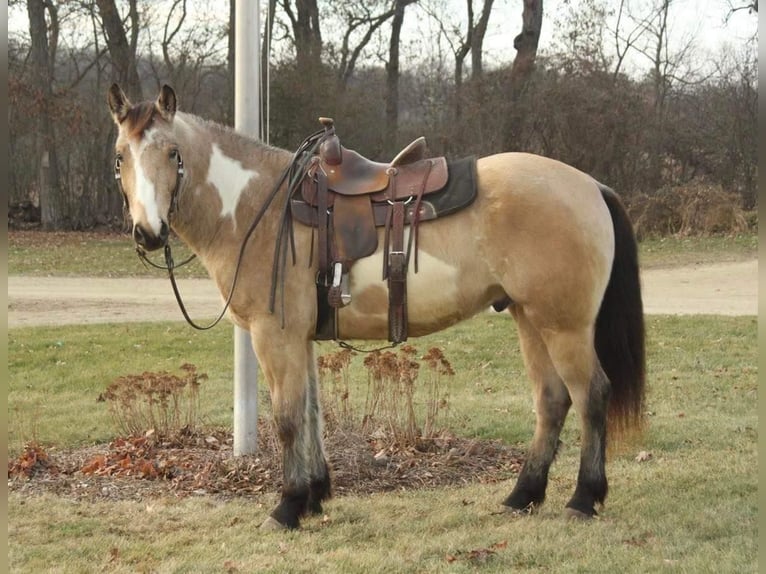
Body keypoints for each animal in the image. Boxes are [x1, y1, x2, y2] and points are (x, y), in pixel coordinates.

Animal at [109, 83, 648, 532]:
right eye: (120, 157)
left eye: (172, 152)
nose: (148, 232)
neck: (256, 207)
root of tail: (589, 186)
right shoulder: (300, 338)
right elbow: (312, 413)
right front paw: (316, 495)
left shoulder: (274, 335)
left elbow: (287, 417)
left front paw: (288, 506)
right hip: (529, 318)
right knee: (552, 400)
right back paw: (523, 495)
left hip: (564, 325)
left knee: (591, 395)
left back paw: (583, 498)